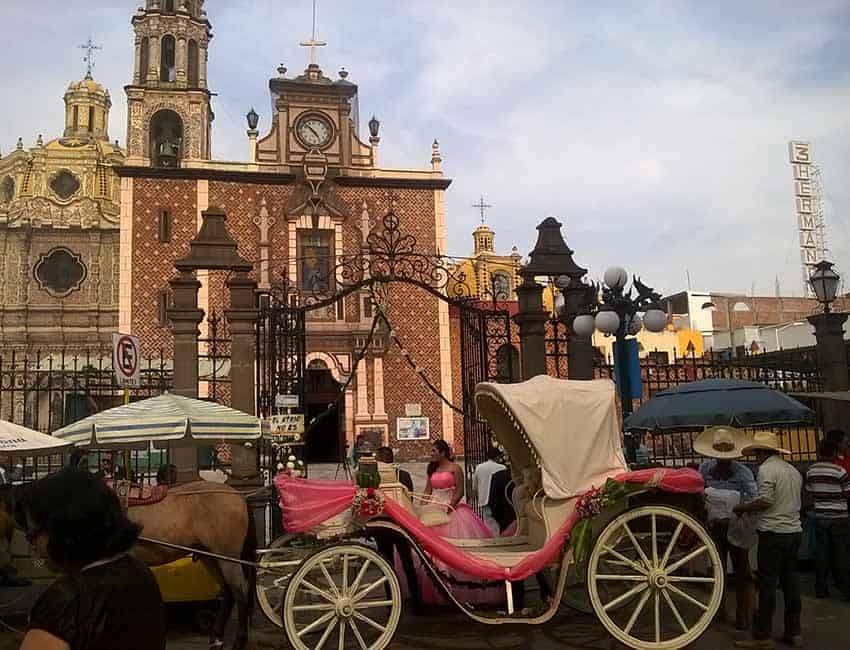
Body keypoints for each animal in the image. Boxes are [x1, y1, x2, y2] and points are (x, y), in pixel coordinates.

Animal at [1, 476, 256, 648]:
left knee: (241, 593)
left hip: (227, 556)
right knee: (228, 592)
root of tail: (238, 496)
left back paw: (239, 642)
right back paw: (217, 637)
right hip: (210, 555)